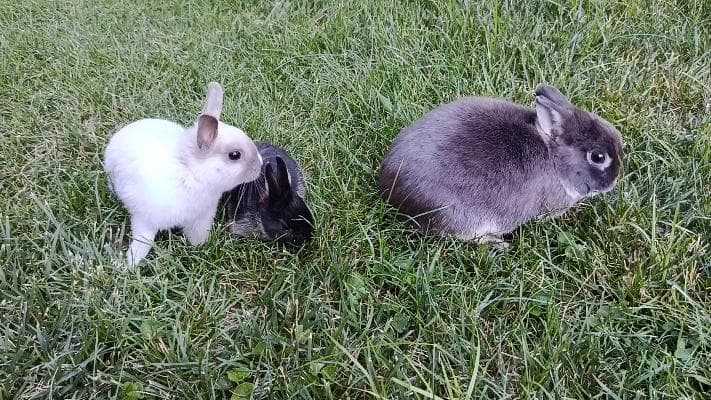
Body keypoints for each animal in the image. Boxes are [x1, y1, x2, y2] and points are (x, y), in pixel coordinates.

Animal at [104, 82, 263, 267]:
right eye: (235, 155)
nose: (259, 165)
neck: (191, 173)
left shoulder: (201, 218)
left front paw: (200, 247)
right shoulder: (145, 219)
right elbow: (144, 240)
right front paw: (131, 263)